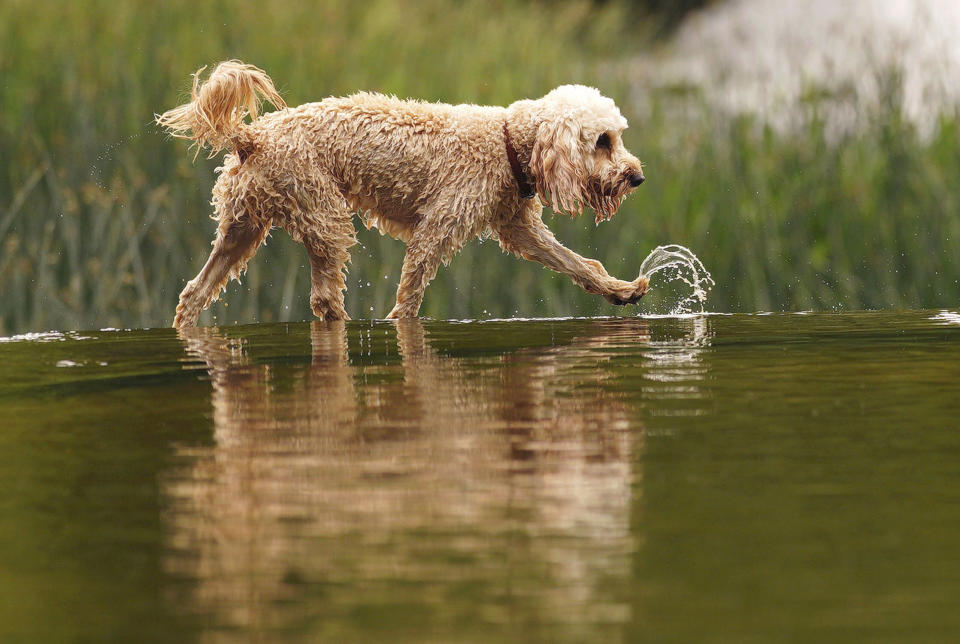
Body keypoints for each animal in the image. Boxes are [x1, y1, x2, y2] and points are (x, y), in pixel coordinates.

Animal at [158, 60, 648, 328]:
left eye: (616, 136)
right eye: (602, 140)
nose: (636, 177)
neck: (506, 143)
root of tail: (251, 138)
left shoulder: (519, 228)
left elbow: (576, 264)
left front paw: (622, 291)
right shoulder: (437, 229)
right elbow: (411, 292)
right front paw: (399, 324)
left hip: (242, 228)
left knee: (194, 292)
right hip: (325, 216)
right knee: (323, 299)